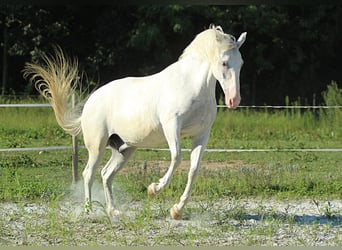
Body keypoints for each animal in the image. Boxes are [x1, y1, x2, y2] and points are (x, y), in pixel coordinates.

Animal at [25, 25, 247, 220]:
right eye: (224, 63)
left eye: (241, 63)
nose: (233, 100)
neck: (191, 86)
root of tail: (90, 102)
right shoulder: (171, 126)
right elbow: (176, 158)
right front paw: (154, 189)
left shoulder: (201, 134)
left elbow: (193, 169)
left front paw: (177, 210)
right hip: (97, 146)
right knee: (89, 173)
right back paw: (89, 210)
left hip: (124, 149)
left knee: (106, 175)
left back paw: (113, 211)